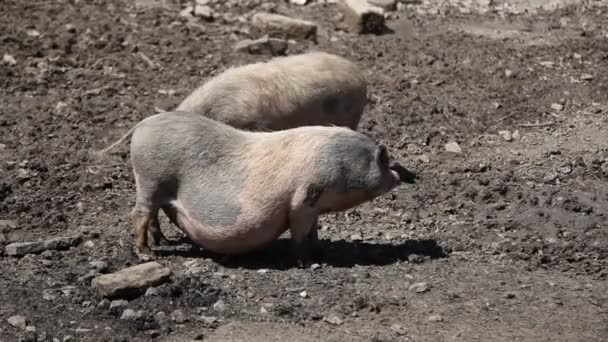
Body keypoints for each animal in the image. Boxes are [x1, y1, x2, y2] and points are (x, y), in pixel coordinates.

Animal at [100, 112, 416, 268]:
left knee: (155, 214)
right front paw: (308, 264)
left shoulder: (314, 206)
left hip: (158, 187)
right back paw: (146, 255)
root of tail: (143, 124)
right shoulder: (303, 200)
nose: (411, 175)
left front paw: (321, 253)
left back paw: (164, 242)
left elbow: (314, 231)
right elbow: (299, 234)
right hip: (150, 178)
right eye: (386, 162)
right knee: (139, 214)